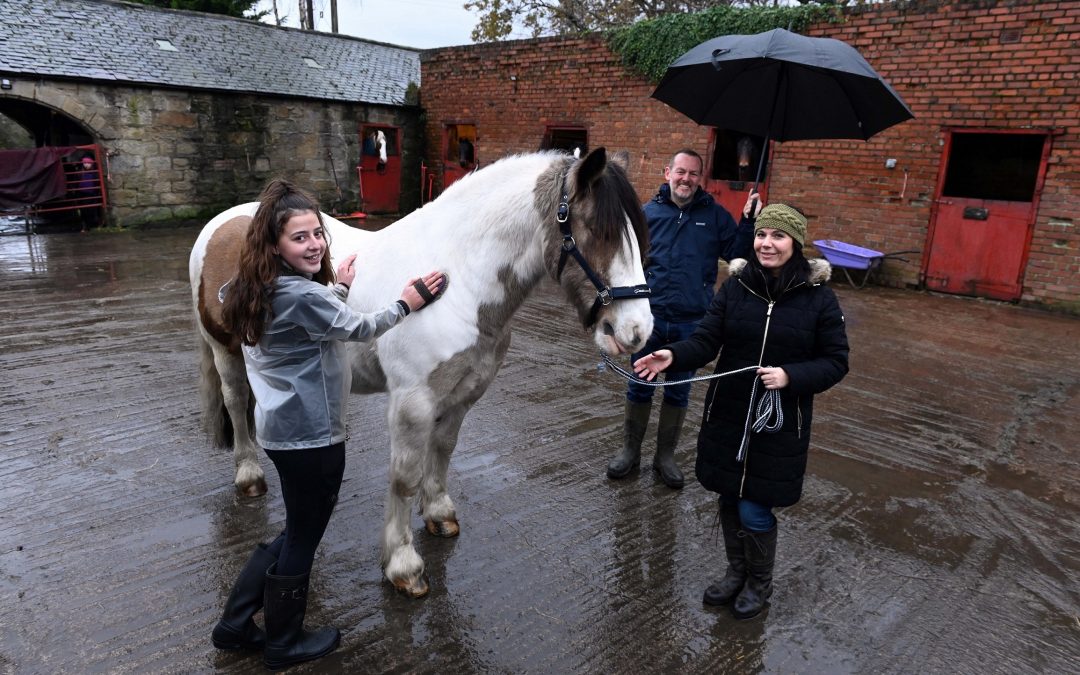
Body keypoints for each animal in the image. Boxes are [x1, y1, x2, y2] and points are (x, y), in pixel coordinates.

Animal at [187, 149, 648, 596]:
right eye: (598, 231)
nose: (637, 331)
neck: (459, 277)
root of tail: (227, 222)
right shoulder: (413, 402)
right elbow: (404, 478)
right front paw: (403, 566)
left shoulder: (463, 394)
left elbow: (442, 450)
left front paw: (439, 513)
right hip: (225, 351)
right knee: (235, 401)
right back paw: (249, 475)